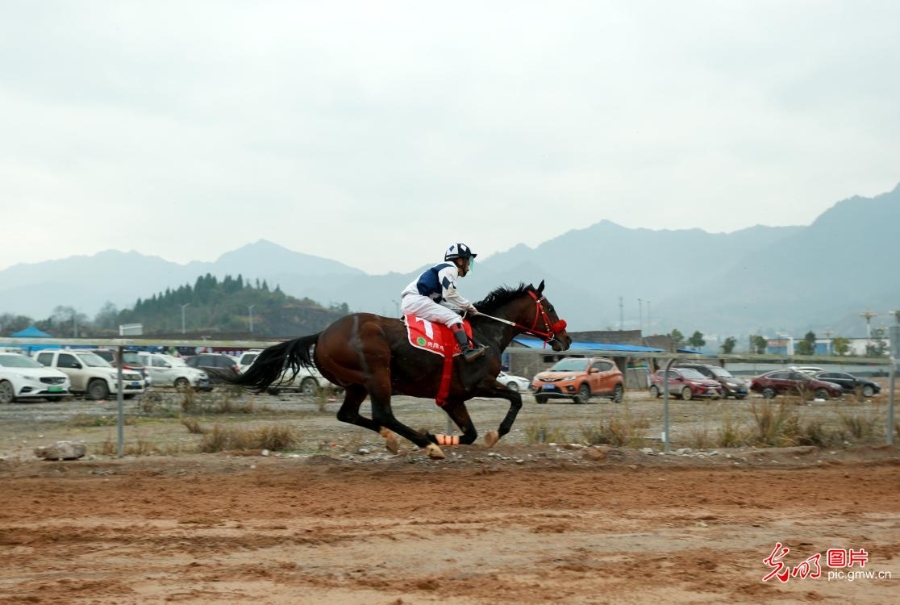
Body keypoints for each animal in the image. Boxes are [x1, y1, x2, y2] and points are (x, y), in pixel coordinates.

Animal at [229, 280, 572, 456]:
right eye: (550, 307)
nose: (566, 339)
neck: (486, 333)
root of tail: (322, 334)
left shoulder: (452, 398)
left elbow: (471, 433)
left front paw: (443, 436)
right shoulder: (480, 385)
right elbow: (514, 400)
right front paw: (493, 434)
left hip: (356, 384)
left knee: (349, 414)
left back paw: (401, 439)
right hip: (377, 373)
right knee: (383, 414)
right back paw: (424, 444)